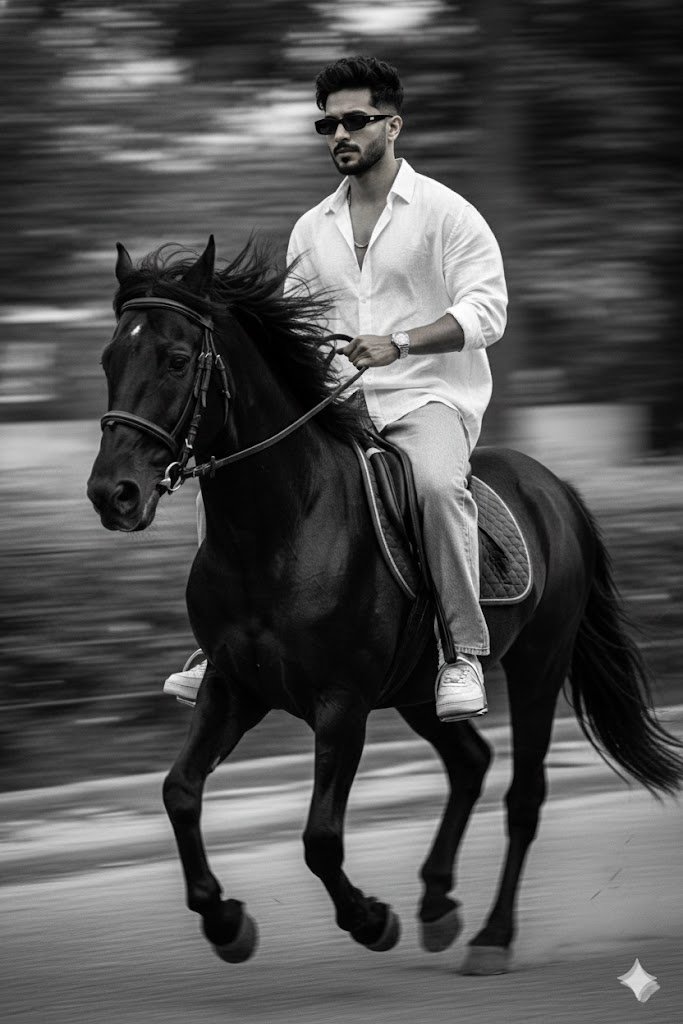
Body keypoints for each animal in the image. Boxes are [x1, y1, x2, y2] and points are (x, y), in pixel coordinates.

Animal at [87, 235, 683, 973]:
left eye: (174, 358)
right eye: (109, 358)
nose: (111, 494)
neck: (279, 530)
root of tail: (553, 487)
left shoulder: (340, 704)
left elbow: (320, 837)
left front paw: (371, 919)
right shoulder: (233, 687)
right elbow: (179, 793)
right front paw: (225, 921)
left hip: (536, 667)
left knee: (523, 796)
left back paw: (491, 936)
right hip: (417, 691)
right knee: (470, 763)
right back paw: (437, 904)